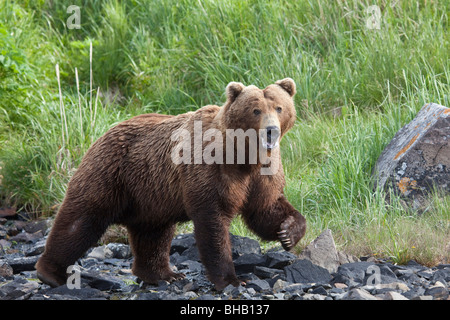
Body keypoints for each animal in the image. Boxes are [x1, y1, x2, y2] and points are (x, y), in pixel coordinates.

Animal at [36, 77, 306, 290]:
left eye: (279, 107)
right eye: (255, 110)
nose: (271, 130)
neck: (243, 157)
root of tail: (106, 131)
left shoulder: (262, 173)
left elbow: (265, 208)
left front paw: (287, 231)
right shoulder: (211, 169)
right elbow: (213, 219)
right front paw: (231, 279)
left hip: (150, 193)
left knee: (154, 233)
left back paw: (163, 275)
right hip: (111, 172)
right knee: (83, 218)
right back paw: (51, 273)